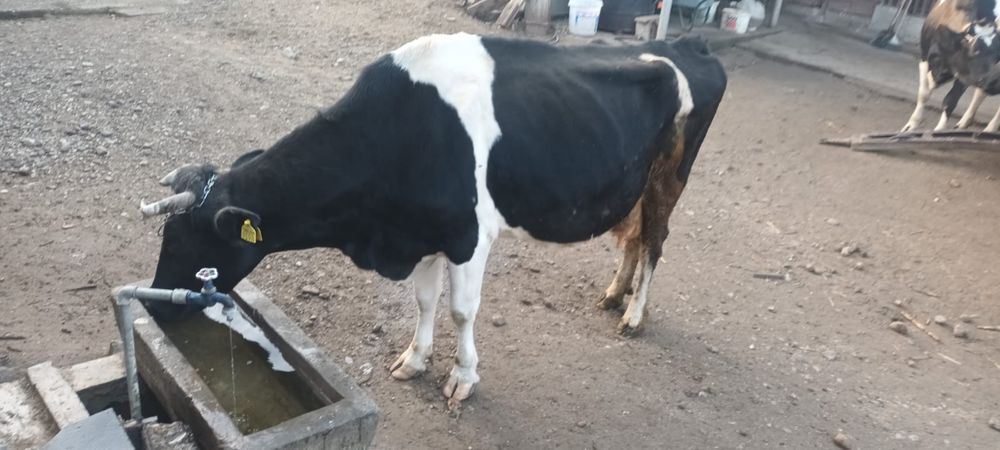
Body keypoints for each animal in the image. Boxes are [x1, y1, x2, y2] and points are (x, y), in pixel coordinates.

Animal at [140, 33, 727, 408]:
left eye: (191, 246)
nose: (159, 307)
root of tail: (690, 44)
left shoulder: (469, 236)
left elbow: (462, 311)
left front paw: (463, 378)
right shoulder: (418, 234)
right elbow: (425, 301)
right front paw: (414, 360)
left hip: (671, 176)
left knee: (654, 240)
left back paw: (634, 315)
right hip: (636, 182)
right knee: (633, 238)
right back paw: (613, 294)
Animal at [901, 0, 1000, 132]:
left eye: (997, 55)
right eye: (974, 50)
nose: (994, 82)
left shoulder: (965, 75)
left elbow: (950, 101)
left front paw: (939, 130)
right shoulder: (925, 57)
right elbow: (923, 93)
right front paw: (911, 125)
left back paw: (990, 128)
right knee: (980, 93)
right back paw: (964, 122)